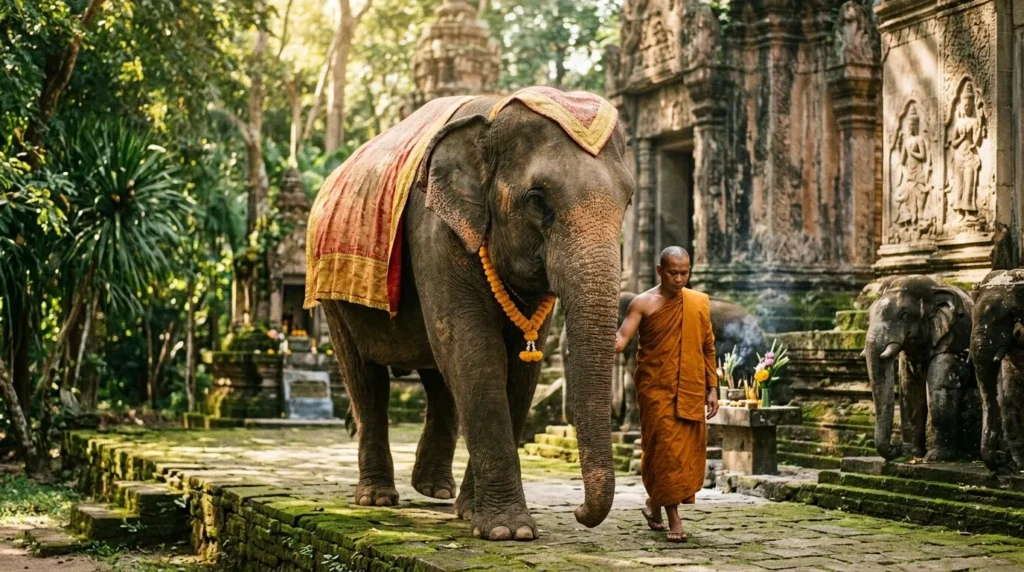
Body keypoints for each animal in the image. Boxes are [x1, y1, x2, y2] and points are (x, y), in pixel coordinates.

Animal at [320, 95, 634, 541]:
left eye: (628, 200)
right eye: (537, 199)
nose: (578, 511)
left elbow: (518, 367)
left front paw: (474, 515)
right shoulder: (434, 232)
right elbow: (474, 349)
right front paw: (508, 531)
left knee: (437, 377)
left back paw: (435, 490)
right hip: (333, 296)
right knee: (365, 379)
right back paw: (377, 498)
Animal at [863, 275, 979, 461]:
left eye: (905, 315)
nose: (894, 449)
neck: (934, 288)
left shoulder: (953, 345)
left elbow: (940, 389)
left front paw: (935, 458)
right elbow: (910, 392)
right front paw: (911, 454)